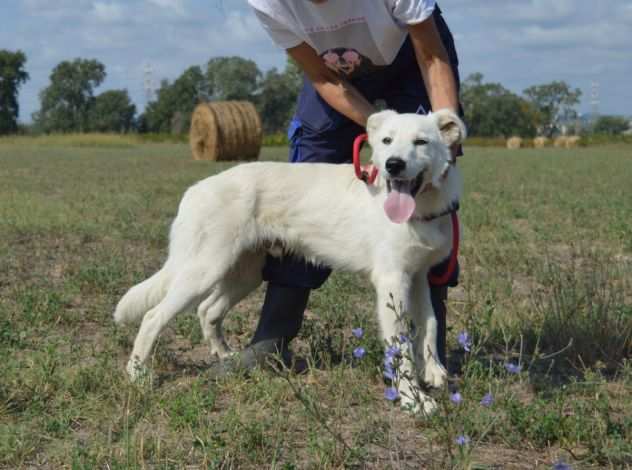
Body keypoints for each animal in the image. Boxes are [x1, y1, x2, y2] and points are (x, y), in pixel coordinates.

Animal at [116, 109, 466, 412]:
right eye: (386, 141)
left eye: (421, 142)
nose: (393, 165)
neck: (421, 209)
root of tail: (196, 189)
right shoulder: (392, 281)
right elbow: (402, 347)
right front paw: (413, 399)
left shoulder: (418, 276)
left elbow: (430, 323)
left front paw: (434, 370)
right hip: (204, 270)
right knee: (153, 316)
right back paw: (137, 376)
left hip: (244, 273)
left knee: (208, 310)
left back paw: (226, 357)